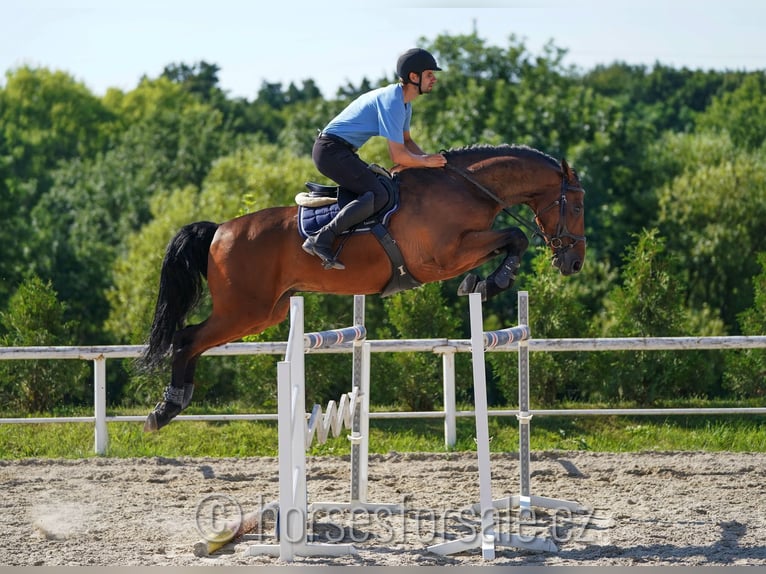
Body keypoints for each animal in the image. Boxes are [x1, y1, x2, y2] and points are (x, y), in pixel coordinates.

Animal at [142, 144, 588, 432]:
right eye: (579, 205)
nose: (574, 263)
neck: (465, 188)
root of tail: (220, 230)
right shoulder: (442, 258)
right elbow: (515, 235)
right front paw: (490, 281)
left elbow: (512, 239)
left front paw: (489, 280)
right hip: (243, 311)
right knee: (186, 338)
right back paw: (165, 409)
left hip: (266, 313)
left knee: (191, 340)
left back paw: (170, 406)